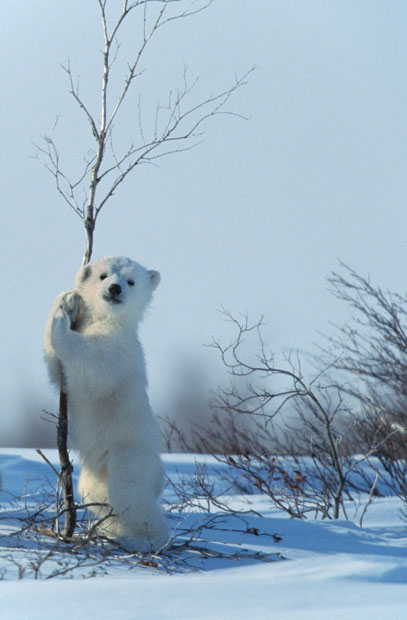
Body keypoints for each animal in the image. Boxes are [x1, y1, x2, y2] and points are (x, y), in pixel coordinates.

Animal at [45, 256, 171, 552]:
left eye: (131, 281)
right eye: (103, 275)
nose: (115, 289)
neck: (105, 319)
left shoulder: (118, 348)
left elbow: (90, 364)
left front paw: (63, 312)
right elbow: (56, 370)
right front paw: (65, 299)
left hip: (129, 455)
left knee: (130, 496)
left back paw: (144, 539)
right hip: (96, 470)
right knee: (97, 495)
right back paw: (108, 529)